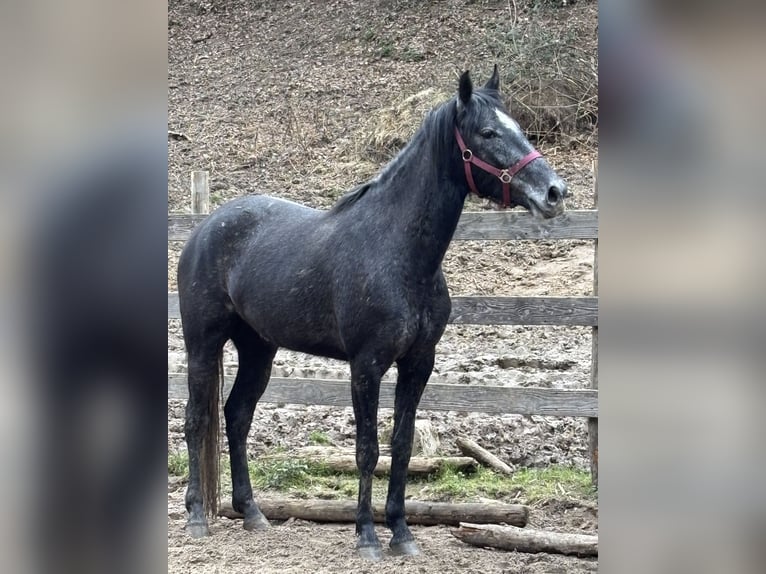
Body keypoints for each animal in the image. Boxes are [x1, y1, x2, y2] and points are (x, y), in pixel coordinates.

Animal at [178, 66, 567, 561]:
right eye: (487, 132)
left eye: (518, 126)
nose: (554, 192)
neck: (398, 253)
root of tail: (206, 228)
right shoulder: (366, 365)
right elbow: (367, 449)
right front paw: (366, 535)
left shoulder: (418, 363)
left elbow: (401, 445)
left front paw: (401, 533)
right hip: (203, 344)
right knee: (196, 419)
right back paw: (196, 517)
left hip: (258, 350)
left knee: (237, 416)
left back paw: (252, 513)